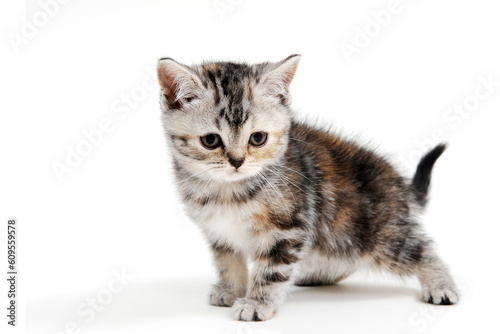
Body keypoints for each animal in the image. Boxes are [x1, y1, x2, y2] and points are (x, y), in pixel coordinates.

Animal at [158, 54, 458, 320]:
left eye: (257, 138)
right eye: (210, 140)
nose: (237, 161)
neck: (227, 191)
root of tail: (400, 185)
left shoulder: (289, 229)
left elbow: (272, 270)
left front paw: (257, 303)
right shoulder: (220, 233)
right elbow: (227, 262)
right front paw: (230, 290)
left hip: (379, 236)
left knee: (421, 249)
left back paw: (441, 284)